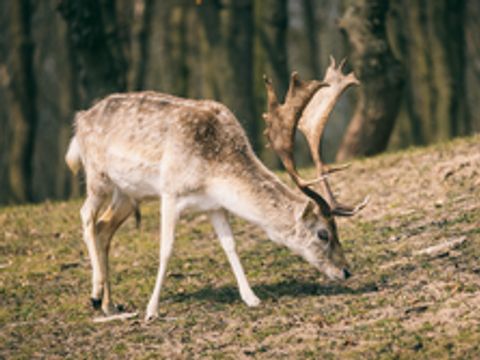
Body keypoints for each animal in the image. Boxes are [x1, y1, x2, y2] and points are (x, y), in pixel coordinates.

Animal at [65, 56, 366, 320]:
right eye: (323, 234)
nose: (346, 271)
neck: (213, 170)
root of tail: (80, 119)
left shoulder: (214, 205)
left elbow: (230, 245)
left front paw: (251, 298)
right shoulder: (170, 192)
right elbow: (166, 249)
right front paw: (152, 310)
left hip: (128, 194)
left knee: (104, 227)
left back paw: (109, 305)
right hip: (98, 176)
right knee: (86, 215)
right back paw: (95, 294)